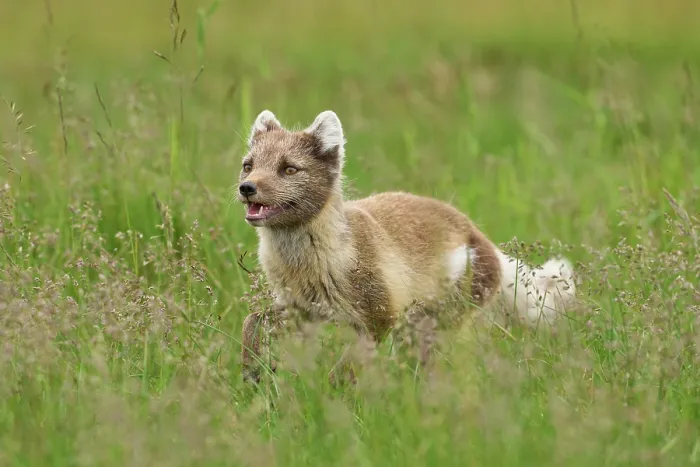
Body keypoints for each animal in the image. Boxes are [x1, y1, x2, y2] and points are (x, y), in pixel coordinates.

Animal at [237, 109, 576, 381]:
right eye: (248, 166)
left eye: (289, 169)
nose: (246, 187)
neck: (308, 265)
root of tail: (484, 239)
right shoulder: (300, 310)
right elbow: (251, 321)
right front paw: (252, 370)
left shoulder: (379, 316)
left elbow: (347, 367)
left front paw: (332, 395)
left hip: (430, 321)